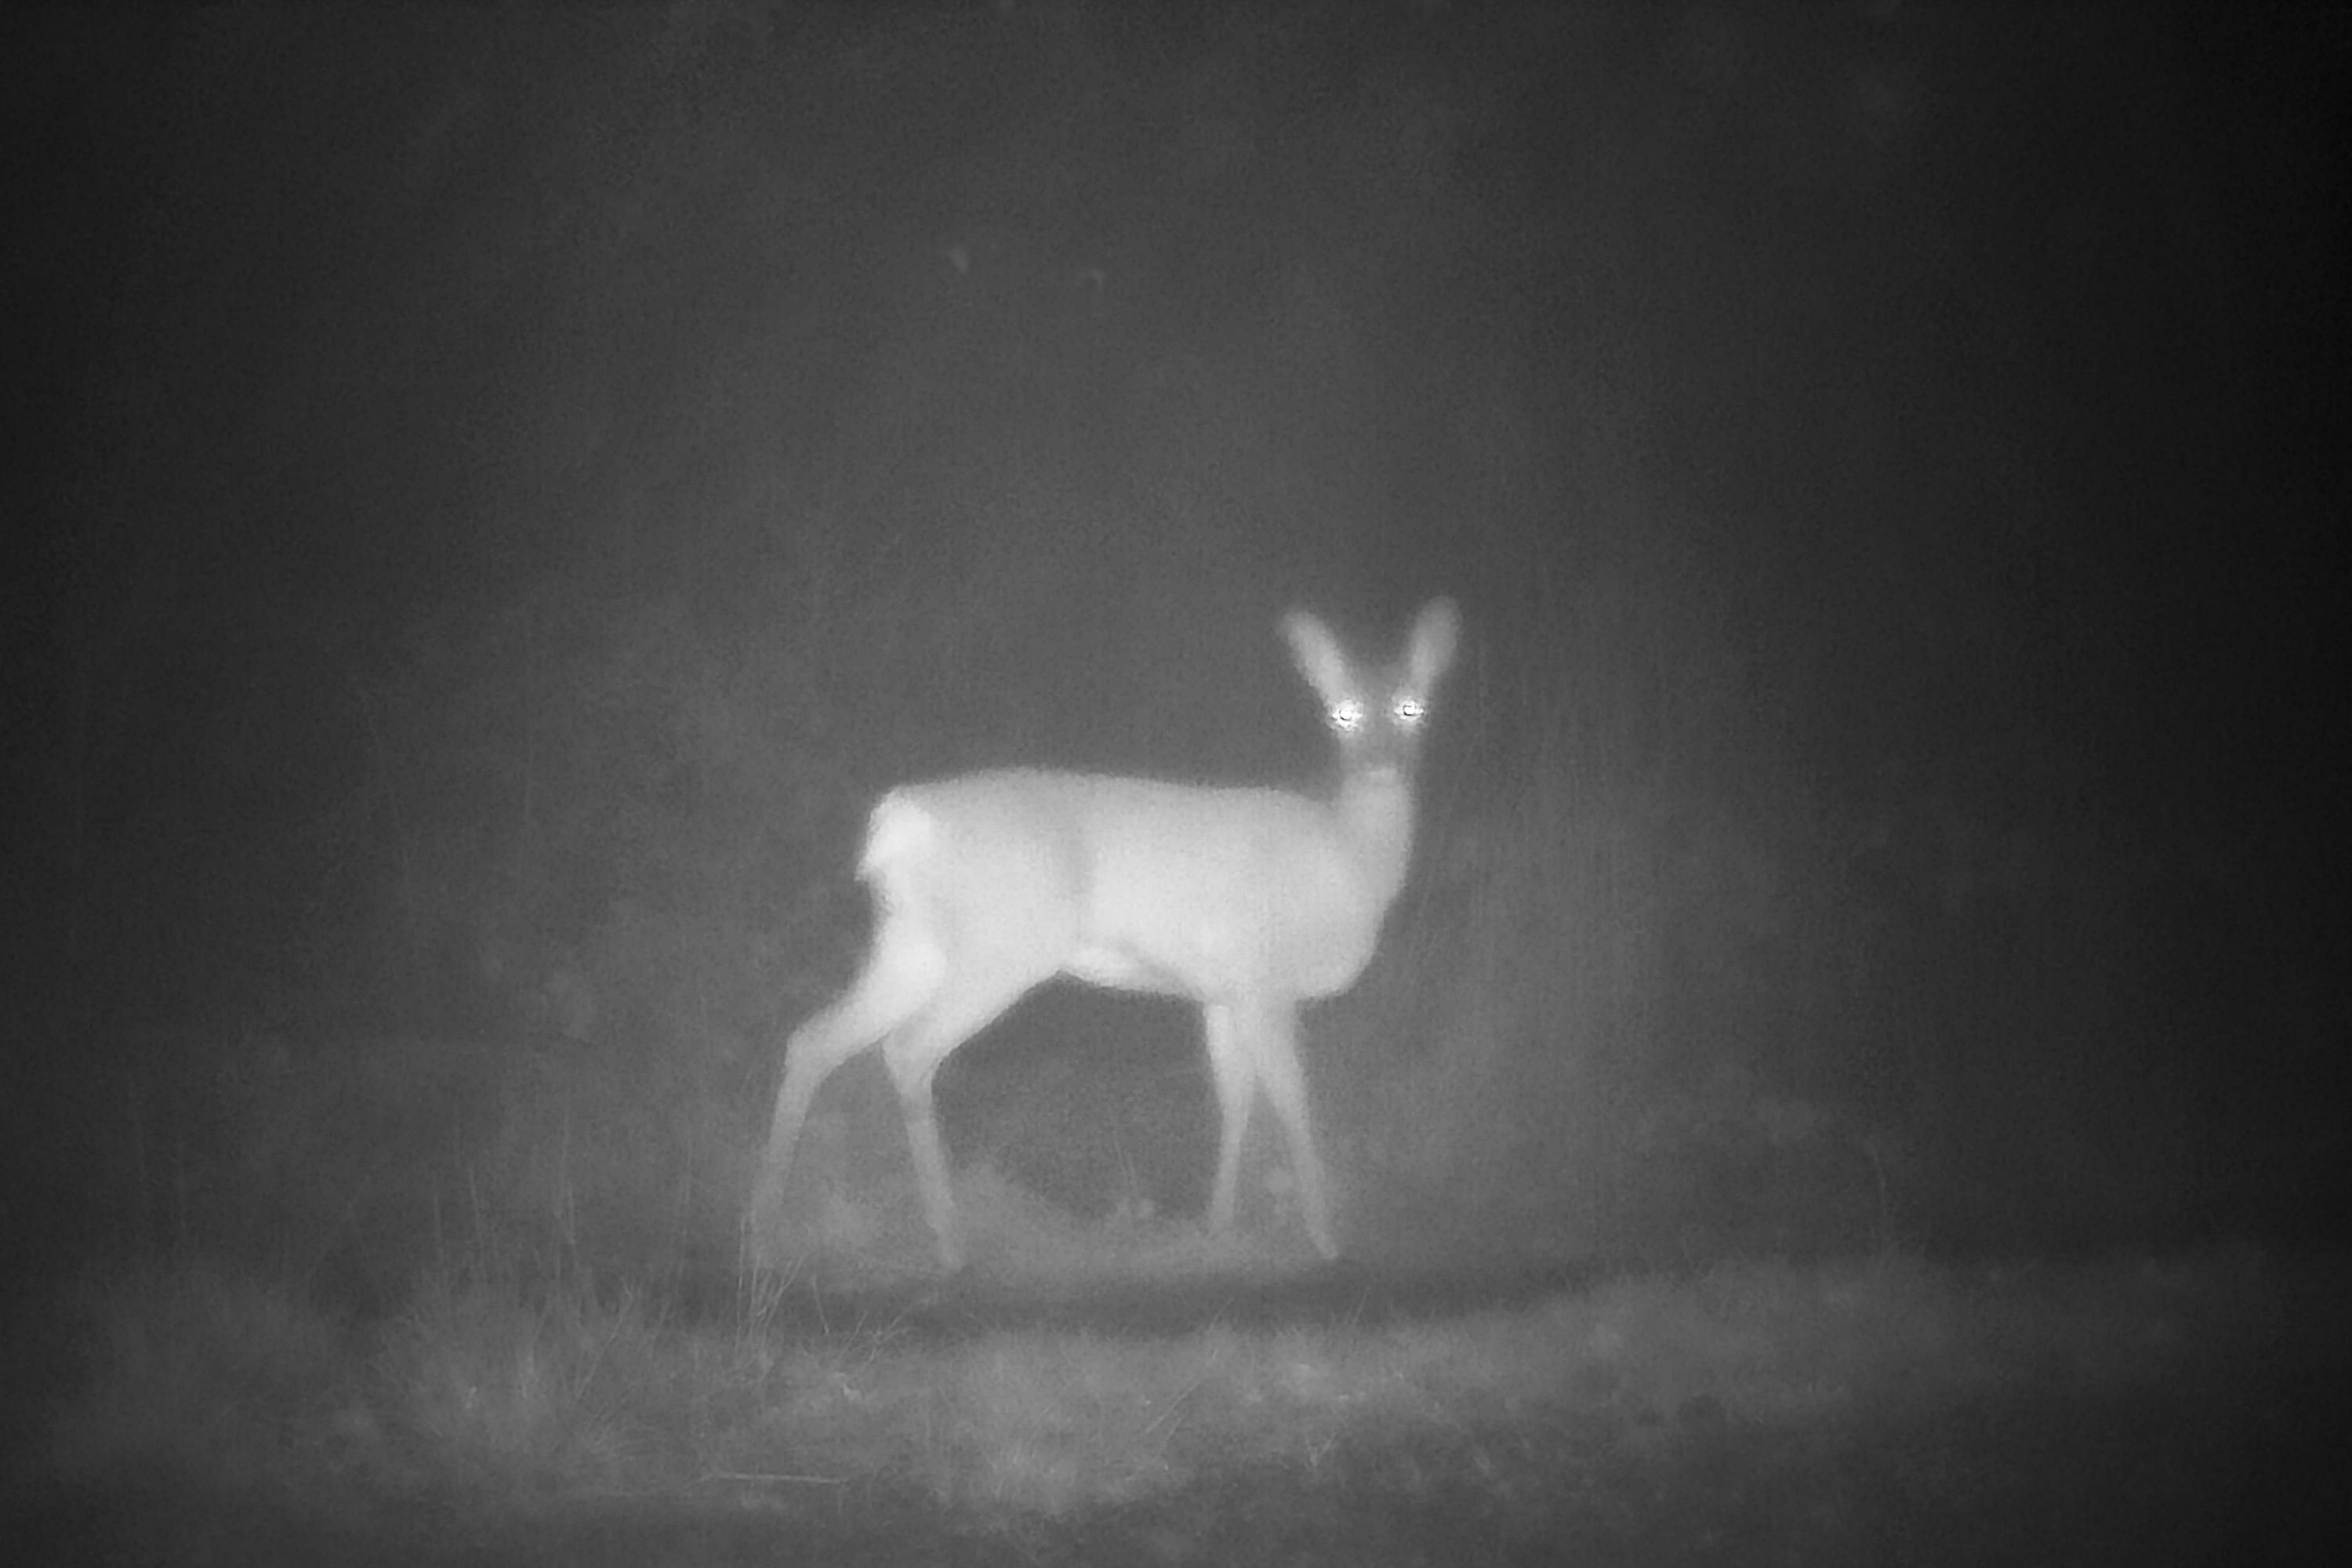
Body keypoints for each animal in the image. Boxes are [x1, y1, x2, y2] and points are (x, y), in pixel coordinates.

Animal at [747, 598, 1460, 1272]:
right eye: (1341, 713)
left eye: (1412, 708)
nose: (1380, 767)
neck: (1348, 865)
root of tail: (902, 820)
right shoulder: (1263, 978)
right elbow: (1290, 1098)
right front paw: (1326, 1237)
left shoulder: (1222, 991)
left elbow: (1235, 1099)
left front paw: (1218, 1223)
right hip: (1002, 945)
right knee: (907, 1049)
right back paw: (948, 1242)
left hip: (912, 943)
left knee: (814, 1039)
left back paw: (770, 1222)